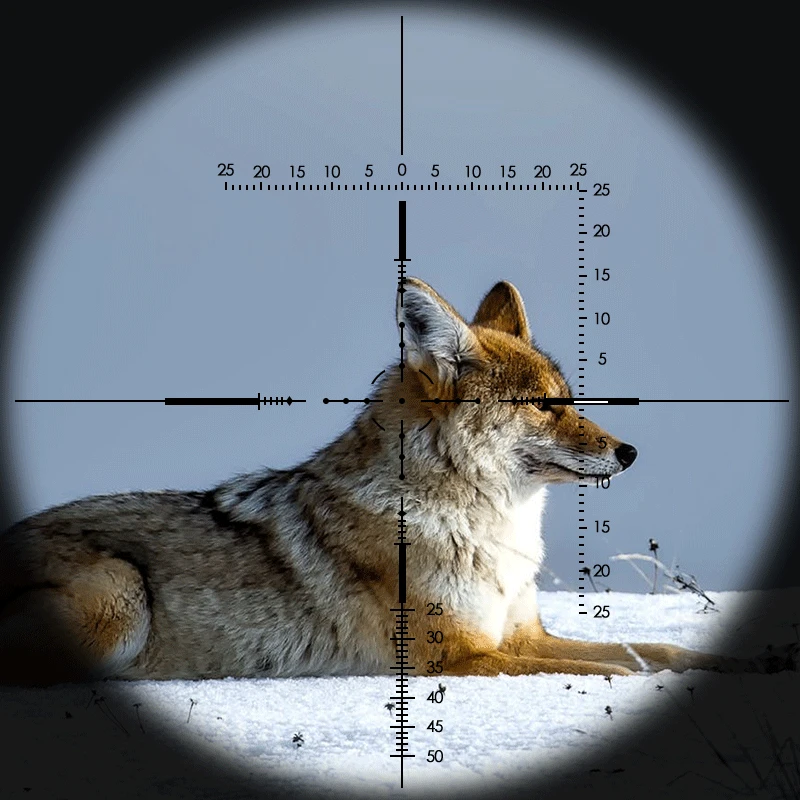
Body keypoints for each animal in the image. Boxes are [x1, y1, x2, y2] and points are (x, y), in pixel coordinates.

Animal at [0, 278, 793, 685]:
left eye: (570, 398)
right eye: (546, 404)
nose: (629, 452)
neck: (489, 532)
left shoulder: (519, 634)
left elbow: (659, 652)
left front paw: (756, 658)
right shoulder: (466, 655)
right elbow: (625, 671)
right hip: (119, 593)